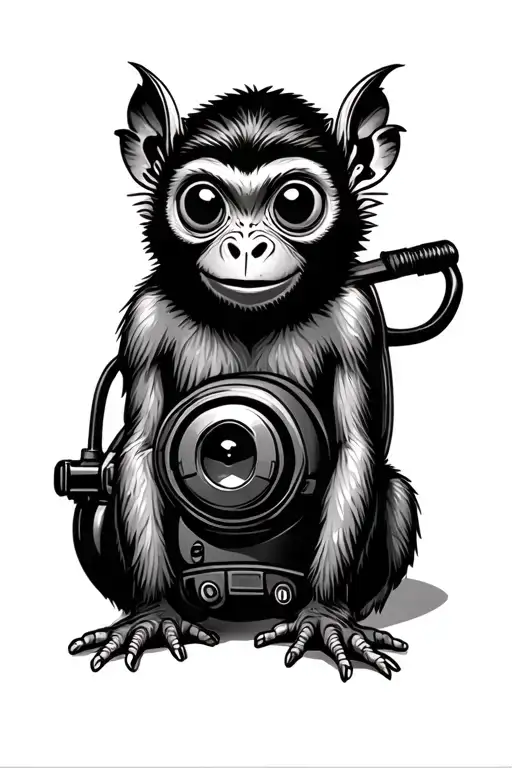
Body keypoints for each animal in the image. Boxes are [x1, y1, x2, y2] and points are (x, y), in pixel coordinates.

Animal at [68, 62, 420, 680]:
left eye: (296, 203)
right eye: (204, 203)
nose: (247, 247)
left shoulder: (356, 320)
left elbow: (353, 450)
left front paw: (324, 618)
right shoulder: (146, 323)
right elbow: (139, 449)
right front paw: (152, 616)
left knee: (394, 490)